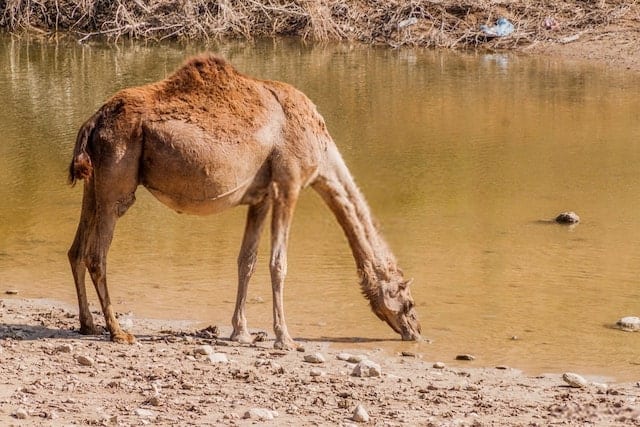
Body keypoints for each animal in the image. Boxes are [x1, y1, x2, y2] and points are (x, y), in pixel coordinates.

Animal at [67, 53, 422, 350]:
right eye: (408, 301)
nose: (416, 331)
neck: (321, 153)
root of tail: (93, 120)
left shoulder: (260, 196)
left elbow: (246, 261)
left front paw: (241, 332)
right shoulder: (288, 184)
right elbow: (278, 263)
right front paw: (285, 339)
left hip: (94, 183)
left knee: (76, 250)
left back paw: (88, 325)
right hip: (117, 181)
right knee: (97, 255)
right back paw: (118, 332)